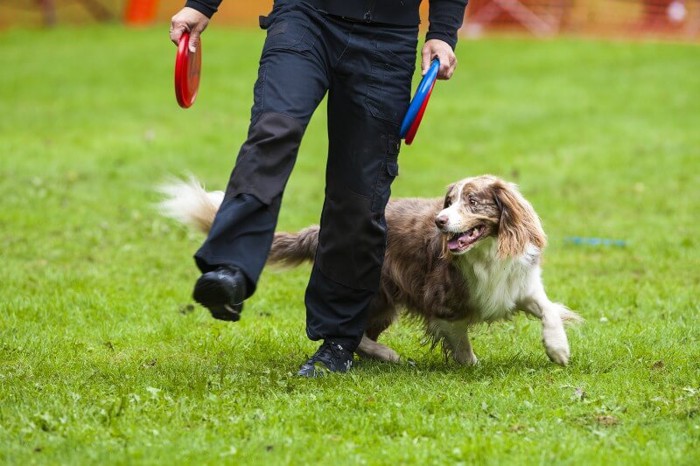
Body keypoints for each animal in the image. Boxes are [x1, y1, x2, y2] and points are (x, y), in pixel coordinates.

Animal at [161, 174, 584, 364]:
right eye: (448, 201)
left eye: (473, 201)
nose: (440, 222)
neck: (486, 252)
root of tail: (322, 231)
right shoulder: (442, 302)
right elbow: (461, 343)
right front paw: (470, 365)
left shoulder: (517, 284)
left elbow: (548, 310)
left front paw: (558, 349)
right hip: (379, 295)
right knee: (350, 333)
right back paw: (388, 355)